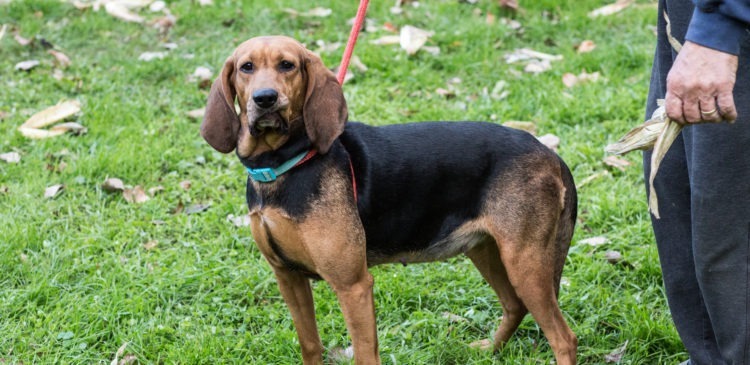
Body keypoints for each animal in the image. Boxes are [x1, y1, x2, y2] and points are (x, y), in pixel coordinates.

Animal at [201, 34, 580, 364]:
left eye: (287, 65)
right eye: (246, 67)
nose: (265, 98)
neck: (282, 165)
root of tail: (549, 153)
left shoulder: (353, 285)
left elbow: (365, 354)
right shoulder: (288, 278)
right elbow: (310, 345)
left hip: (524, 261)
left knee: (564, 337)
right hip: (486, 249)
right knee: (515, 305)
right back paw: (488, 350)